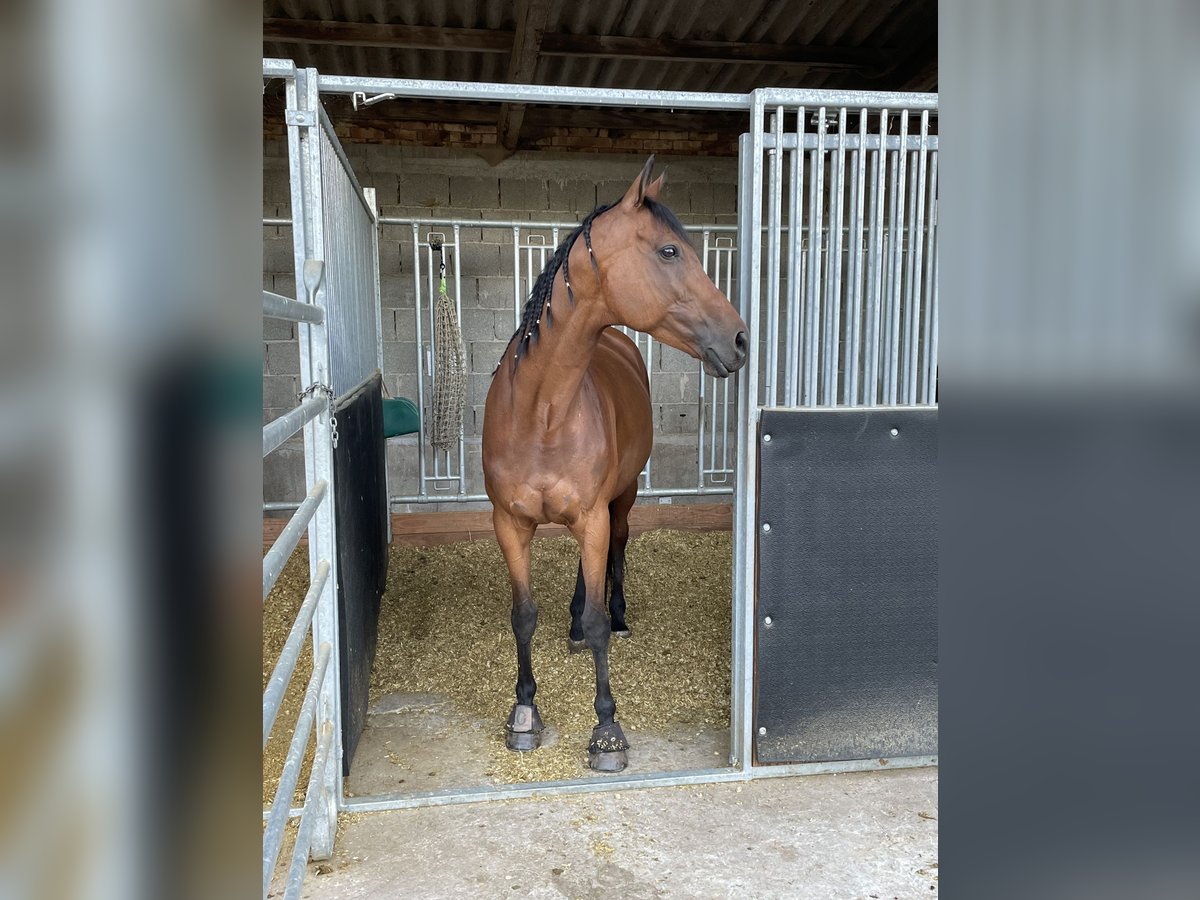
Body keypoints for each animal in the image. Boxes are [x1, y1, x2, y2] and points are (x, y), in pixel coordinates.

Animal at [480, 157, 744, 777]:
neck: (541, 412)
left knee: (616, 550)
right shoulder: (509, 524)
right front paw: (524, 714)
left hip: (618, 502)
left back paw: (613, 615)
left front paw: (607, 730)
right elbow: (523, 615)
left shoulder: (594, 516)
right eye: (669, 251)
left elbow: (600, 614)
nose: (741, 339)